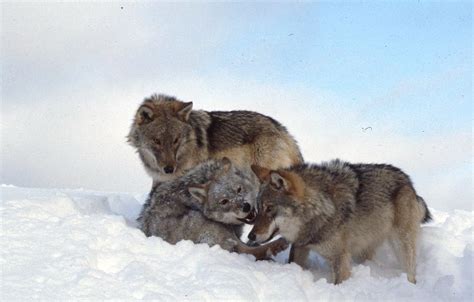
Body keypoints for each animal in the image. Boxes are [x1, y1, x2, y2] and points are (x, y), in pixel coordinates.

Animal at [250, 159, 432, 284]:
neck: (321, 207)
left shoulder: (341, 257)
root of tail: (409, 182)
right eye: (258, 209)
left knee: (411, 273)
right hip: (362, 250)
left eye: (269, 208)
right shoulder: (301, 246)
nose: (250, 236)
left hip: (401, 244)